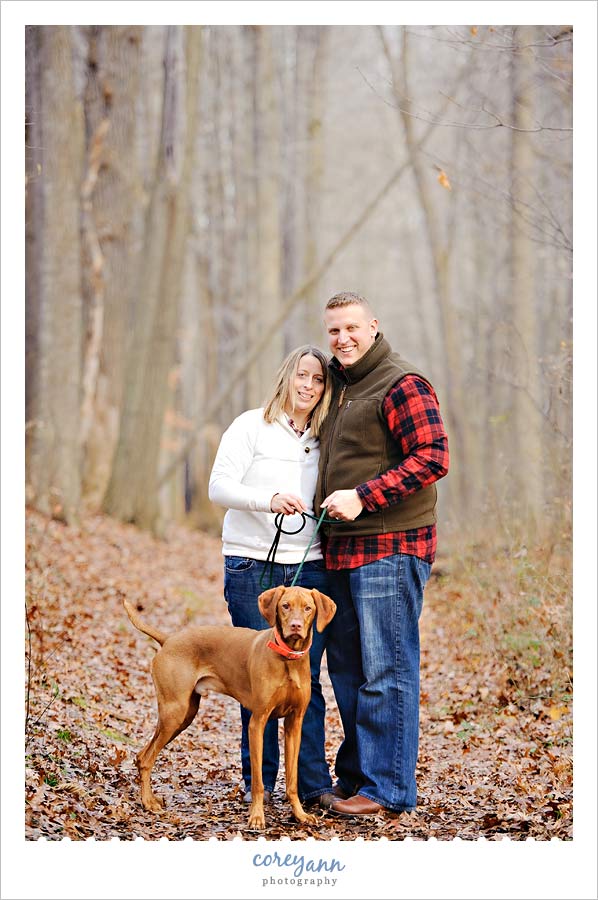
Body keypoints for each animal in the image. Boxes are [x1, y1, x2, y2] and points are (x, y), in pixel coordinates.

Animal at [123, 584, 336, 828]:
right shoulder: (257, 723)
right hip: (174, 712)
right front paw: (256, 816)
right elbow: (258, 782)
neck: (288, 659)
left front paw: (299, 814)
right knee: (146, 758)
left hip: (184, 715)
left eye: (308, 608)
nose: (296, 626)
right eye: (285, 606)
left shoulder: (295, 723)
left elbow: (292, 779)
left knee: (141, 755)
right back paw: (148, 802)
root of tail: (168, 639)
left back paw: (149, 798)